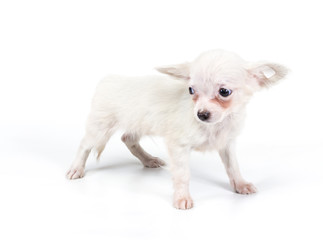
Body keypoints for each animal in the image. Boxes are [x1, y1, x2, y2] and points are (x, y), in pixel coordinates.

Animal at [66, 49, 288, 210]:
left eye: (224, 92)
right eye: (191, 90)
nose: (201, 114)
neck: (215, 126)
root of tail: (110, 79)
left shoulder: (227, 143)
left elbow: (233, 167)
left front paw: (240, 185)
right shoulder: (178, 146)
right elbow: (183, 175)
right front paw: (182, 198)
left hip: (136, 124)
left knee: (128, 139)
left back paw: (148, 160)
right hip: (100, 127)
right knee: (85, 145)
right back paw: (76, 168)